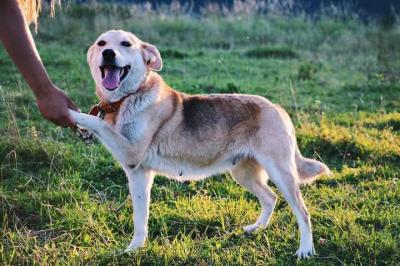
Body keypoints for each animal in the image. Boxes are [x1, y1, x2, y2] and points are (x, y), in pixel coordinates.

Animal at [69, 29, 332, 260]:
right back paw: (257, 228)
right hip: (243, 173)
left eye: (126, 44)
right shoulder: (139, 173)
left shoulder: (132, 155)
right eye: (102, 43)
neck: (126, 99)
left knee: (303, 212)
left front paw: (71, 113)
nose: (108, 53)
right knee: (270, 198)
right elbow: (141, 218)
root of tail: (277, 108)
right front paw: (137, 247)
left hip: (281, 173)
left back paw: (305, 250)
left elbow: (98, 123)